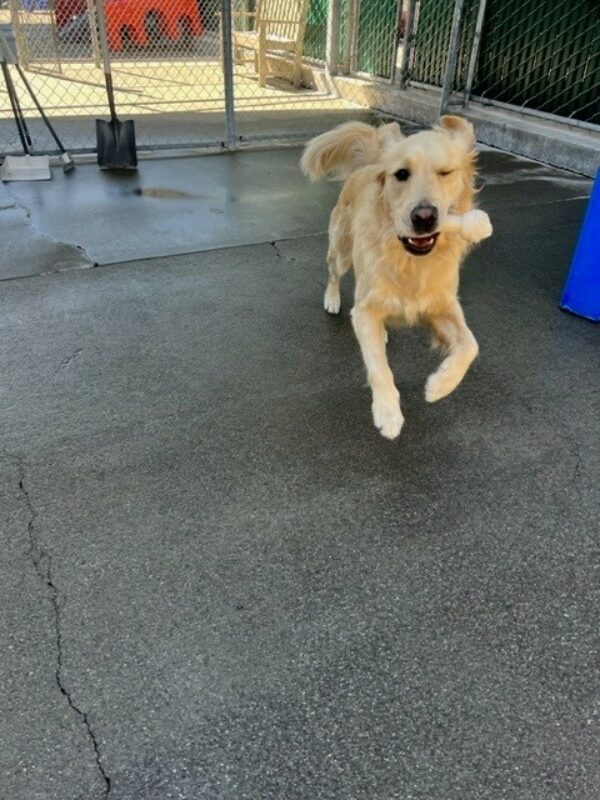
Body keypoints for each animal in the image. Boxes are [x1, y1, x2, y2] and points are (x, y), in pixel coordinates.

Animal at [300, 116, 488, 440]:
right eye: (401, 174)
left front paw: (441, 384)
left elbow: (470, 345)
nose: (424, 217)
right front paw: (388, 412)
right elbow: (378, 366)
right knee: (333, 272)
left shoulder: (442, 307)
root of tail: (371, 162)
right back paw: (332, 299)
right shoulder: (365, 308)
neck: (411, 260)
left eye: (445, 172)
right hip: (342, 250)